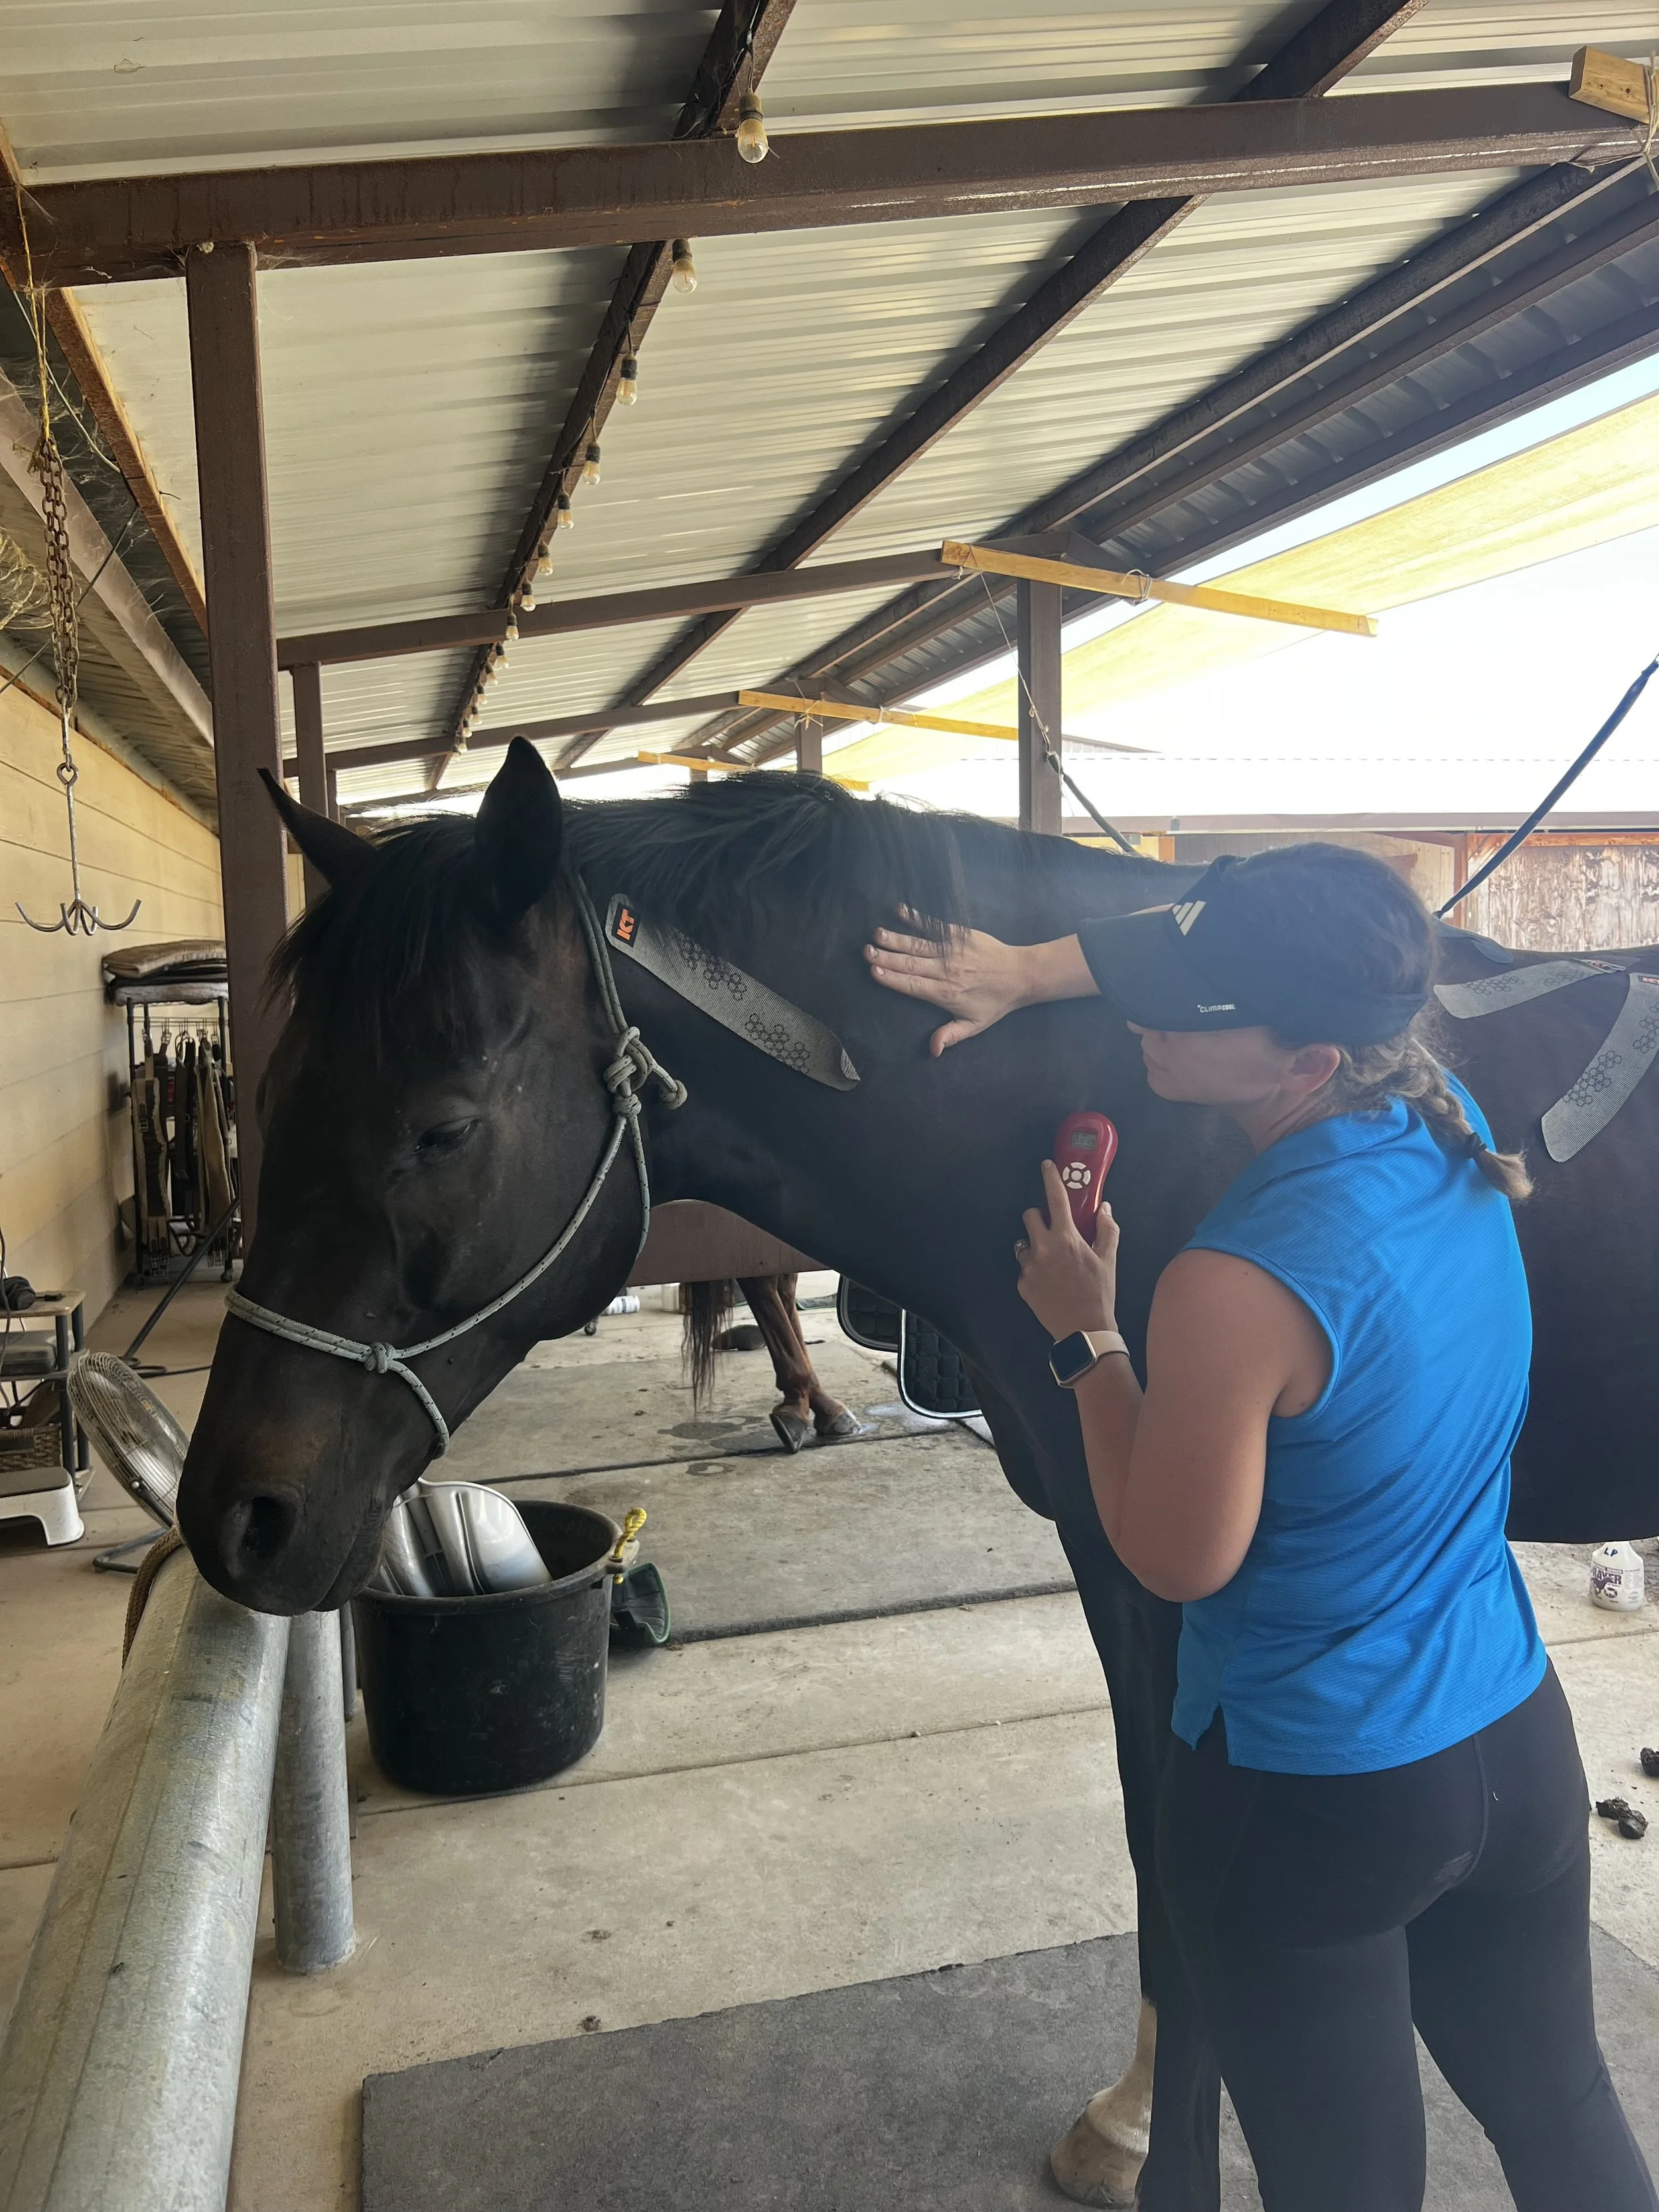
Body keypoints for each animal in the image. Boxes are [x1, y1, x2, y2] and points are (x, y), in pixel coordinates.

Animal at [177, 740, 1659, 2209]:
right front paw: (1128, 2120)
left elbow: (1184, 1871)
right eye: (274, 1094)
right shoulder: (1115, 1572)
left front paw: (1151, 2140)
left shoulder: (1177, 1592)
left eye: (440, 1128)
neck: (1090, 1102)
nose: (233, 1518)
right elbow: (1150, 1840)